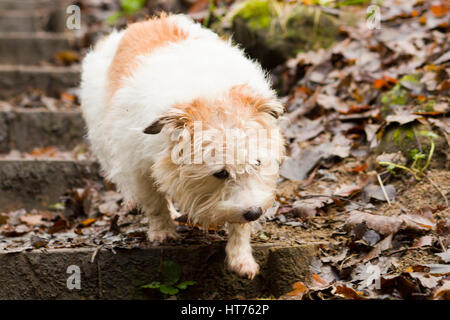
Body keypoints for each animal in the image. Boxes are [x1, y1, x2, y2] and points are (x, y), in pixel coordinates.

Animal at [81, 13, 284, 278]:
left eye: (257, 163)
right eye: (220, 173)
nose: (254, 213)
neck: (208, 92)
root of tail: (145, 21)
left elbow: (240, 227)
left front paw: (241, 257)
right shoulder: (138, 166)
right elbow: (154, 202)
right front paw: (162, 231)